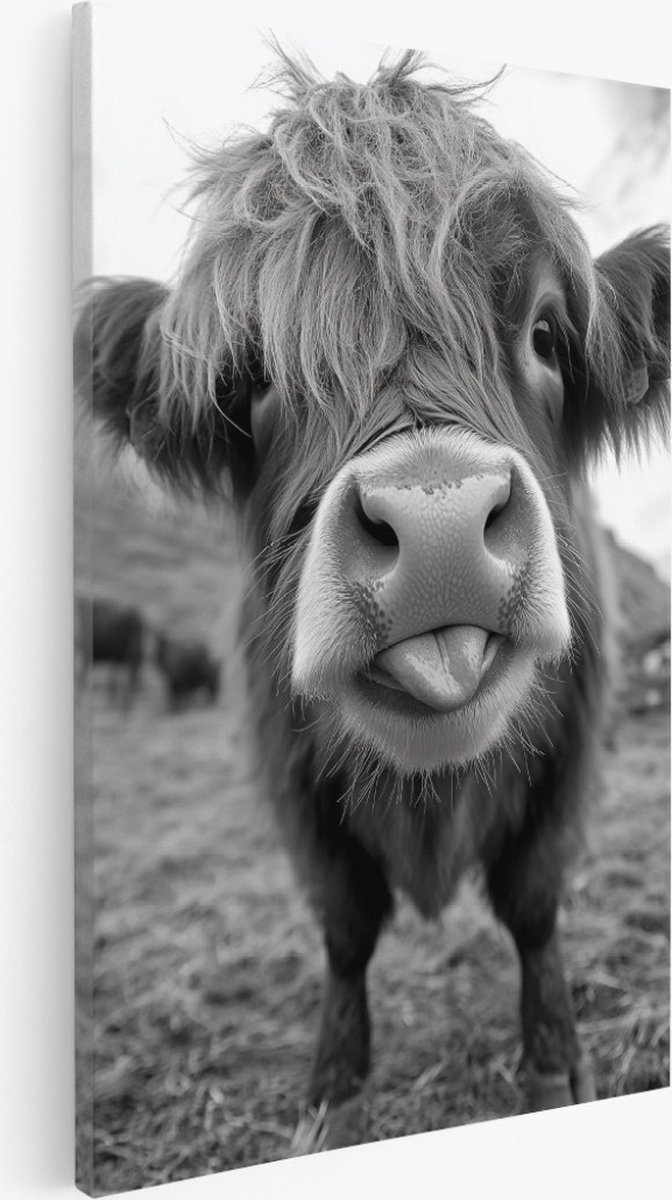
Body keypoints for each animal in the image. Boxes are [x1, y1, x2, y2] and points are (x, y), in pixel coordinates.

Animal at [74, 52, 670, 1147]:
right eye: (246, 379)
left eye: (547, 334)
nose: (438, 530)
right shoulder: (292, 778)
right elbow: (346, 928)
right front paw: (334, 1091)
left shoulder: (572, 753)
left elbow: (533, 907)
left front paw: (552, 1068)